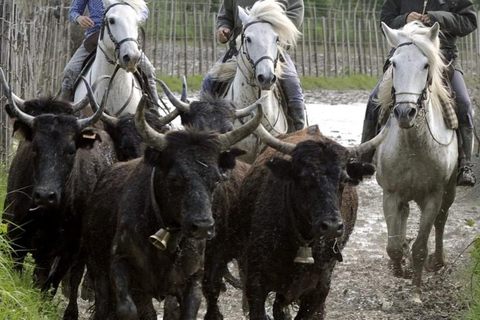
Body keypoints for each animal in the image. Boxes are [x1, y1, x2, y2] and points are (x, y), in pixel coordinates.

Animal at [376, 21, 458, 302]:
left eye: (425, 65)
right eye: (394, 63)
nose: (404, 112)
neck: (413, 145)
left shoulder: (433, 195)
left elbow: (421, 247)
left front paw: (417, 289)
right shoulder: (391, 193)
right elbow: (392, 246)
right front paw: (400, 267)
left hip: (448, 191)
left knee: (442, 221)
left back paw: (438, 261)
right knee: (404, 216)